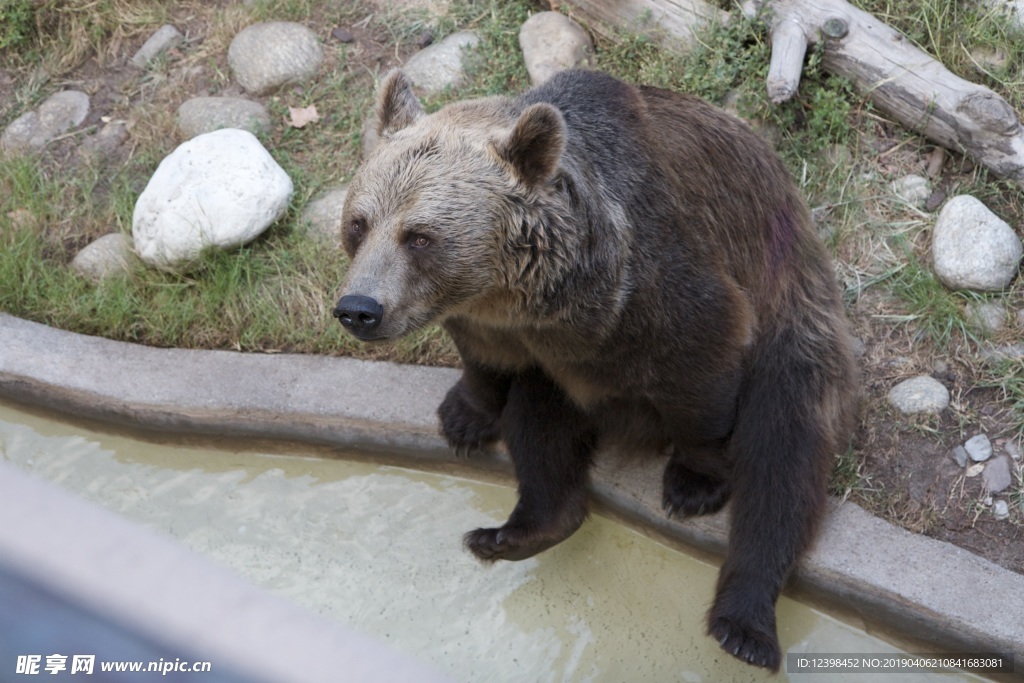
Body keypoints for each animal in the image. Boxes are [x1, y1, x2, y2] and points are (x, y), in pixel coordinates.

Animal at [333, 68, 858, 671]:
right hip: (562, 383)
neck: (531, 299)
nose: (359, 308)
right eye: (359, 223)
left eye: (419, 236)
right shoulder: (498, 326)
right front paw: (463, 416)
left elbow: (704, 369)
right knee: (540, 428)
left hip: (792, 323)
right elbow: (487, 365)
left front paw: (695, 480)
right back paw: (514, 532)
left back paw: (743, 627)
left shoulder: (657, 287)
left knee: (783, 458)